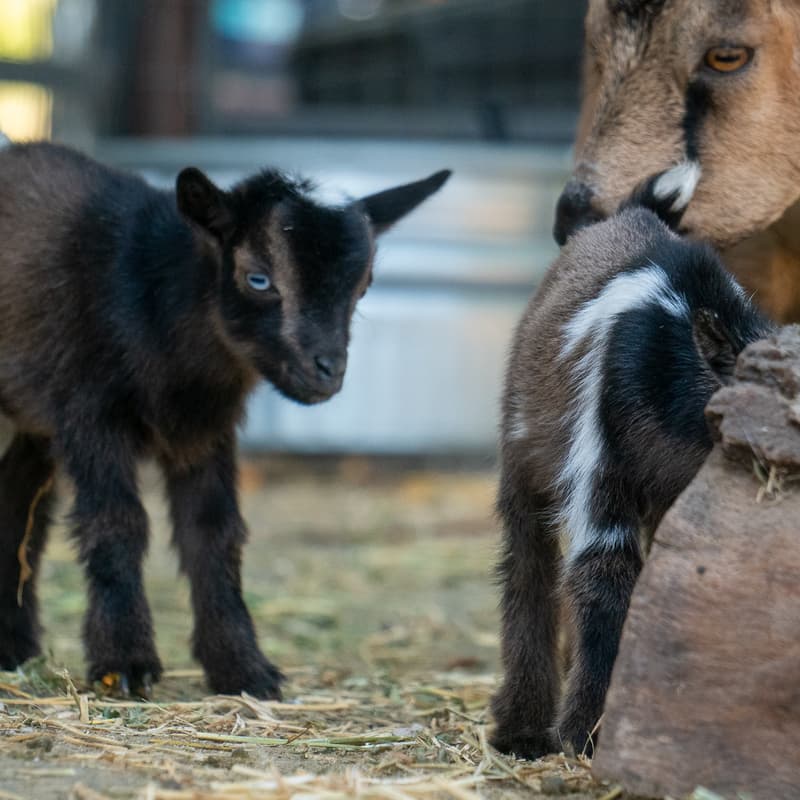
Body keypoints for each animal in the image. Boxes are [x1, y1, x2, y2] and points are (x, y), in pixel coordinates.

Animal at [0, 141, 450, 698]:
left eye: (363, 287)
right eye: (258, 278)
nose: (328, 371)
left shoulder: (205, 428)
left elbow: (214, 531)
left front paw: (241, 666)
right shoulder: (91, 412)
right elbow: (117, 521)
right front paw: (123, 663)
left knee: (17, 500)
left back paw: (12, 646)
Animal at [491, 168, 774, 760]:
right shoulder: (599, 471)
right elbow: (605, 576)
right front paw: (585, 735)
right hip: (522, 460)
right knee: (527, 567)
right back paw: (521, 728)